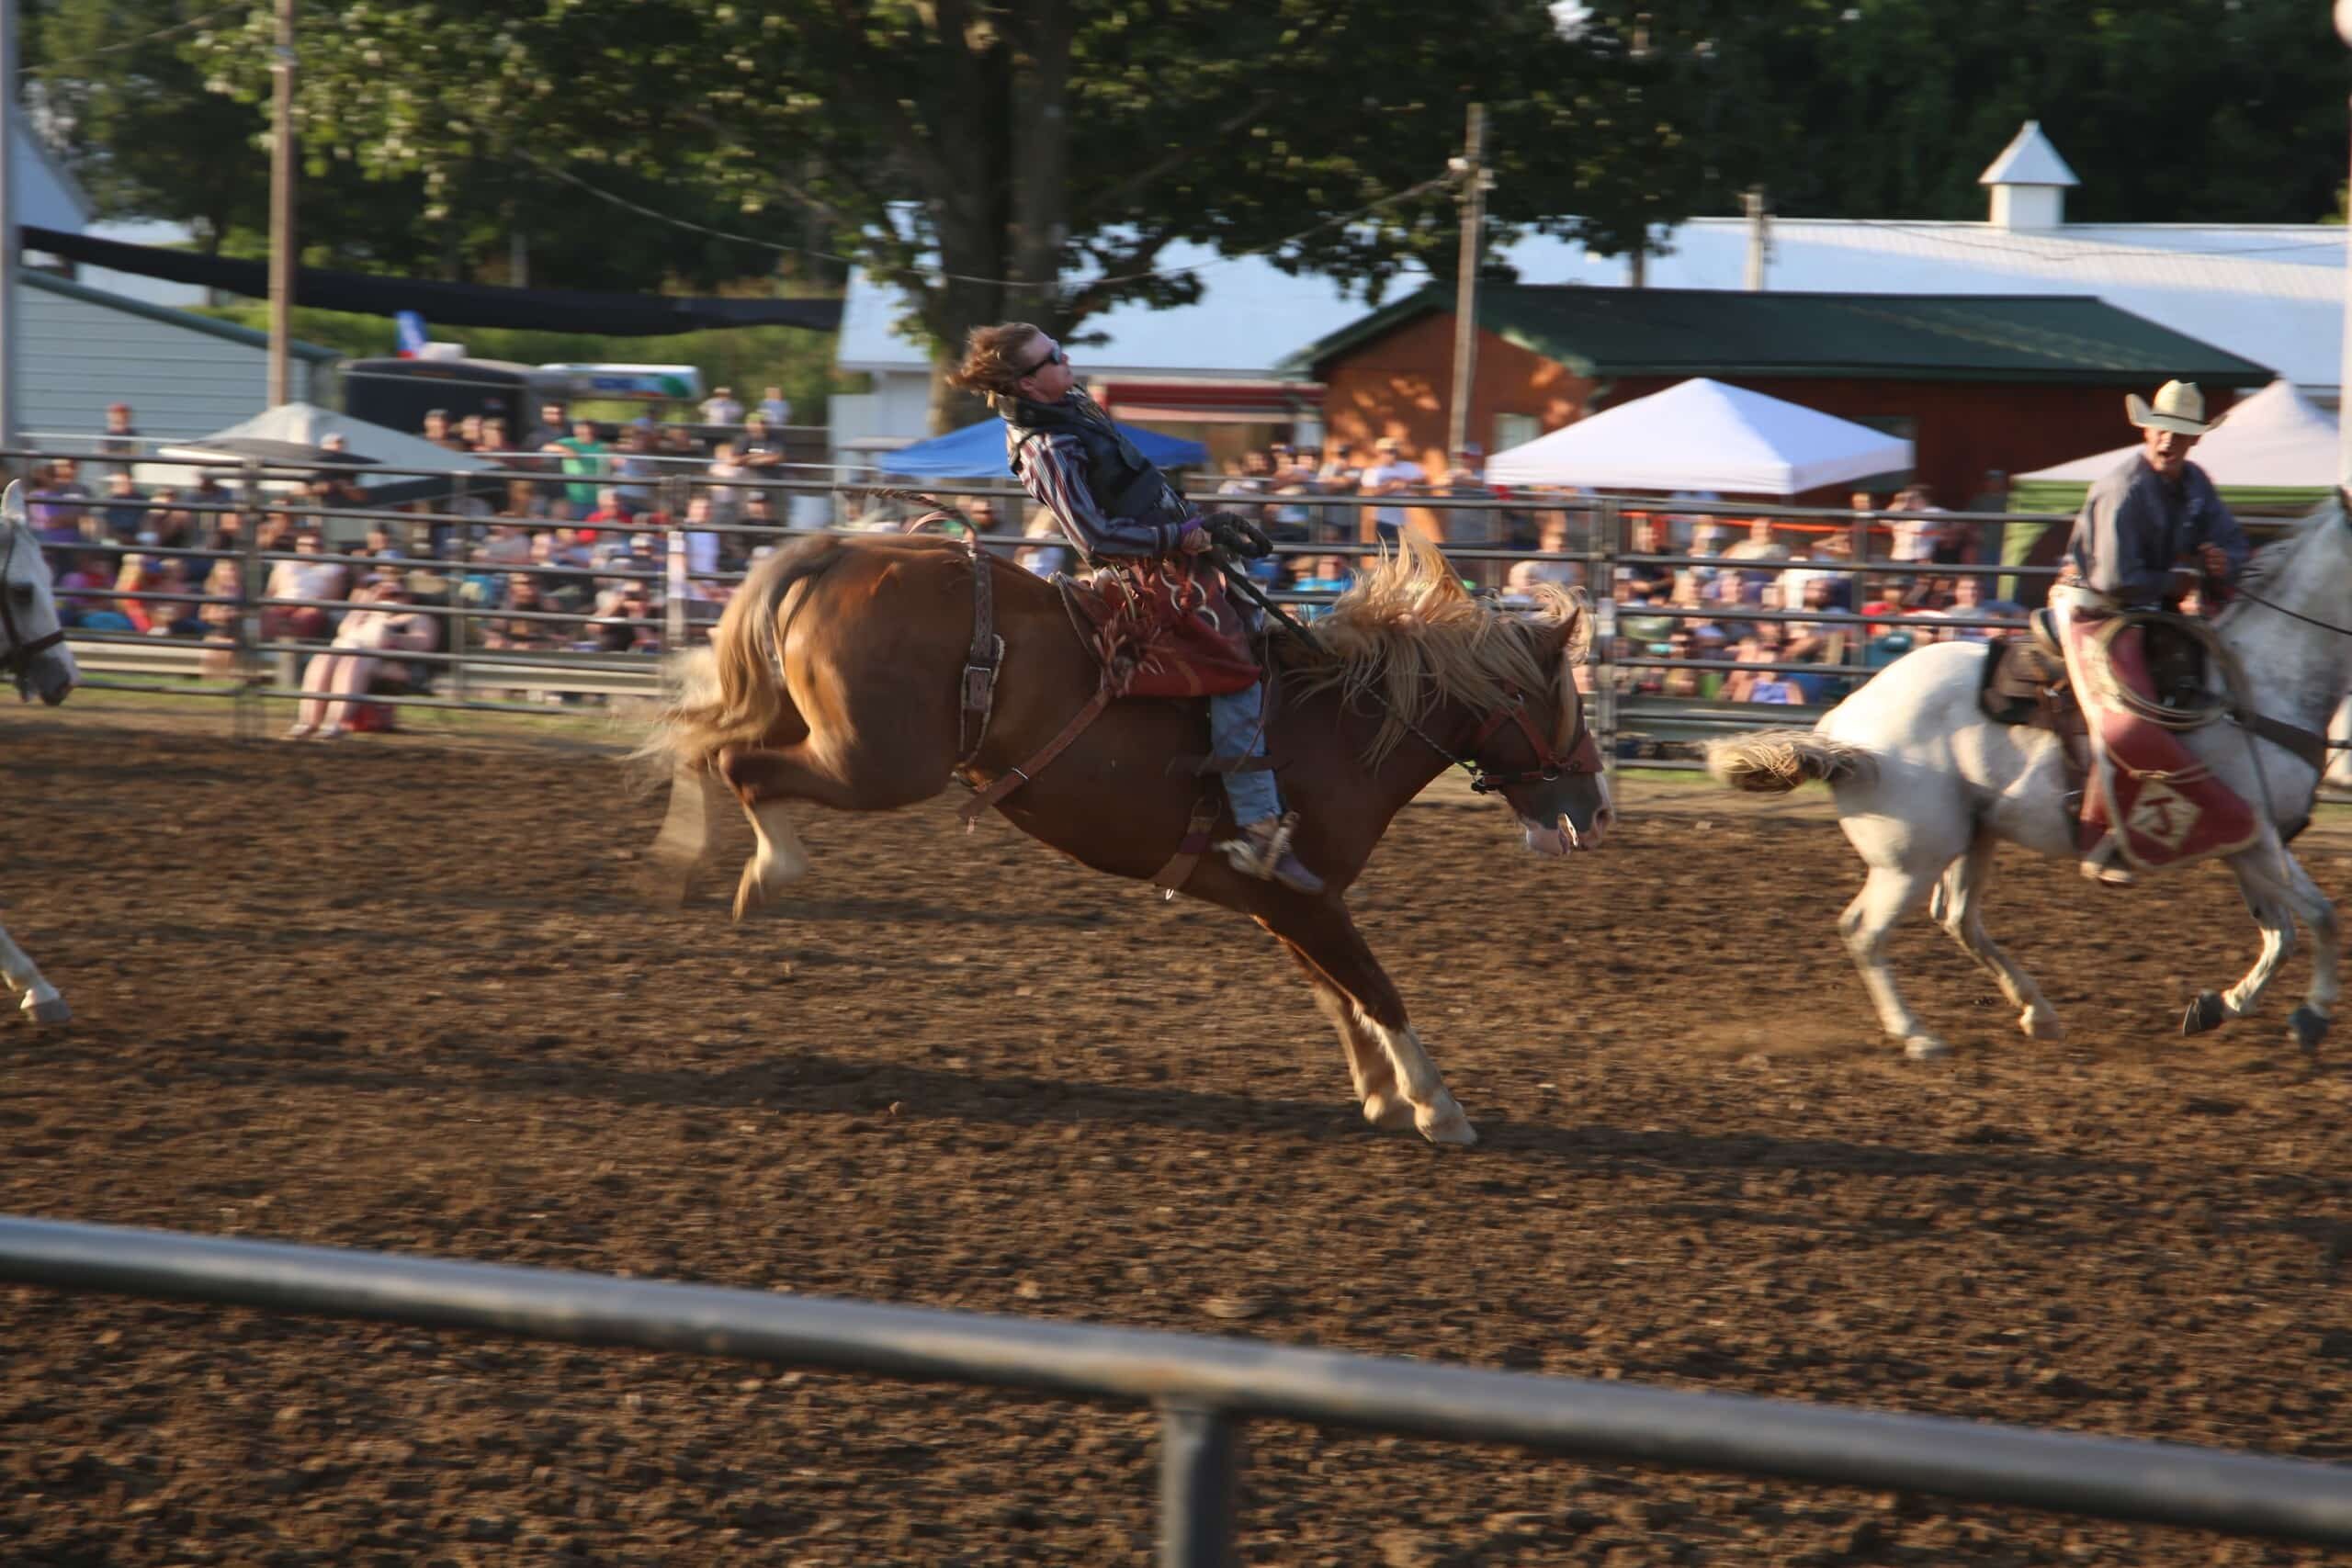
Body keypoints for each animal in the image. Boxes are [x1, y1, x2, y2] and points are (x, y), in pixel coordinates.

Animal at [636, 531, 1610, 1145]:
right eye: (1563, 700)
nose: (1596, 812)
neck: (1337, 720)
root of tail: (841, 549)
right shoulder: (1306, 898)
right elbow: (1378, 990)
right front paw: (1438, 1106)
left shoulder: (1289, 903)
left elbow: (1342, 998)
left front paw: (1381, 1094)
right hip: (875, 761)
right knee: (738, 761)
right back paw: (769, 870)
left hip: (825, 733)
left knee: (706, 739)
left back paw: (686, 864)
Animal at [1706, 500, 2352, 1060]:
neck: (2256, 686)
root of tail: (1843, 723)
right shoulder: (2254, 840)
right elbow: (2321, 917)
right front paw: (2311, 1016)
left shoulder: (2246, 842)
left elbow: (2282, 933)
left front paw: (2220, 1005)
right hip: (1911, 859)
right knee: (1866, 931)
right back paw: (1918, 1036)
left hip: (1975, 835)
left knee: (1959, 919)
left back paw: (2037, 1012)